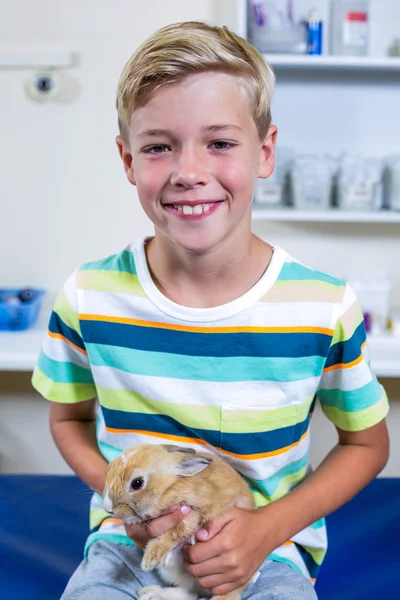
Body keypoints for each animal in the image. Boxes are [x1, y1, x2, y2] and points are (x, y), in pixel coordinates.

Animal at [103, 442, 260, 596]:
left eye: (137, 483)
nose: (107, 508)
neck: (168, 487)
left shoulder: (190, 515)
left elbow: (172, 534)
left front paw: (150, 560)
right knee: (190, 592)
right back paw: (151, 593)